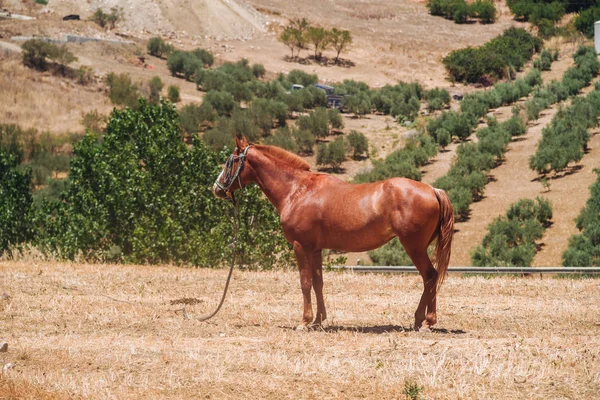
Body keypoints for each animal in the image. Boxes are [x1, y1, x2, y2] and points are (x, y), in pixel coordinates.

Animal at [213, 136, 452, 330]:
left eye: (230, 160)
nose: (217, 188)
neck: (298, 190)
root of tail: (433, 190)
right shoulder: (316, 249)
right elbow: (318, 283)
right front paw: (319, 320)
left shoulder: (300, 246)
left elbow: (305, 282)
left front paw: (304, 321)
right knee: (429, 279)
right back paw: (419, 320)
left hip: (413, 246)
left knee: (430, 276)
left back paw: (427, 322)